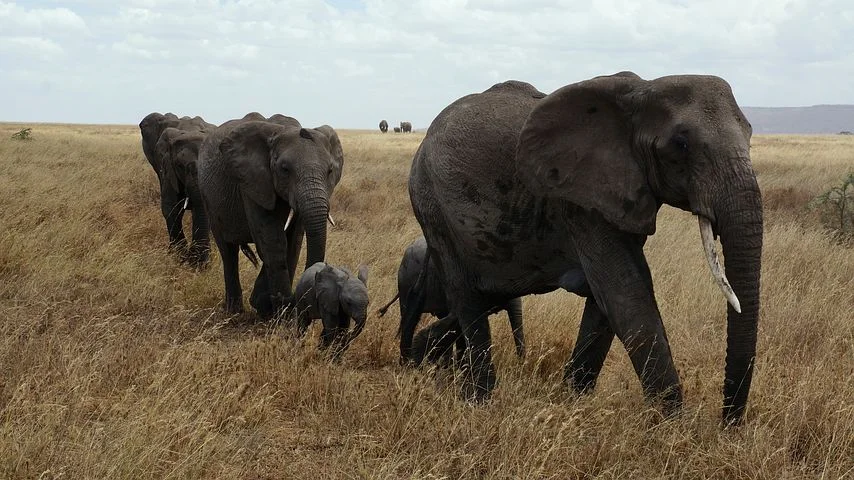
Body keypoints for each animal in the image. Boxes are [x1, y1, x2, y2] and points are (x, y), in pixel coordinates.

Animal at [198, 112, 344, 318]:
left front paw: (268, 307)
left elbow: (293, 242)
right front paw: (280, 314)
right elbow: (273, 241)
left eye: (330, 171)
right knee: (228, 251)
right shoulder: (252, 182)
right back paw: (234, 311)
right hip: (208, 198)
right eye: (284, 169)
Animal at [405, 72, 763, 426]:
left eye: (749, 135)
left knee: (482, 299)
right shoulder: (580, 201)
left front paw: (573, 402)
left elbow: (608, 301)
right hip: (431, 207)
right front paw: (672, 427)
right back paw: (478, 400)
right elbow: (626, 294)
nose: (726, 426)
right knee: (468, 300)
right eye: (681, 144)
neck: (643, 88)